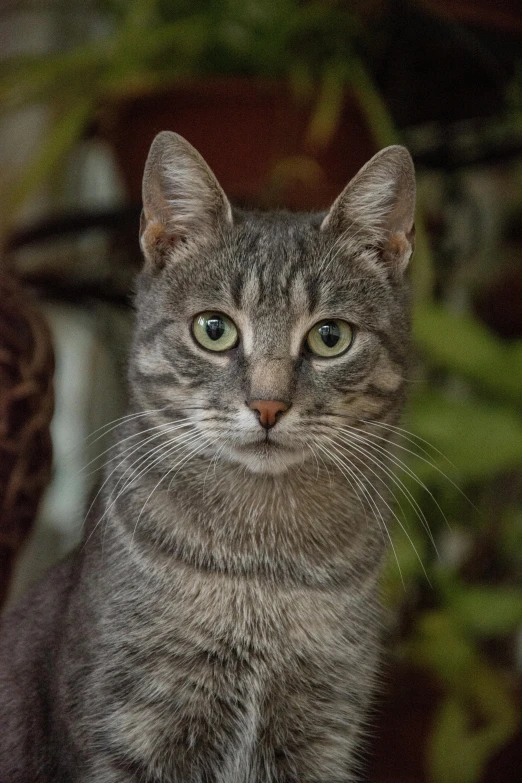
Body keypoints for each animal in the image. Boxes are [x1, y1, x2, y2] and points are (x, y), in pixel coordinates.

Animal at [0, 132, 414, 780]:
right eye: (214, 329)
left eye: (330, 337)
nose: (268, 405)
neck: (264, 570)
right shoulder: (131, 729)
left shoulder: (323, 732)